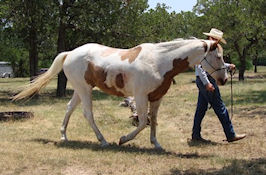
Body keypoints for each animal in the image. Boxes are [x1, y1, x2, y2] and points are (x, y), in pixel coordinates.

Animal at [13, 38, 228, 149]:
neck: (160, 61)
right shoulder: (140, 97)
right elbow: (142, 122)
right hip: (84, 90)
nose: (224, 79)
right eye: (218, 56)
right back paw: (103, 141)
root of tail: (70, 53)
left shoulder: (156, 98)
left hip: (80, 90)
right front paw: (123, 139)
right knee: (87, 114)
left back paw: (64, 137)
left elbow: (153, 121)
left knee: (69, 109)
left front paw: (156, 144)